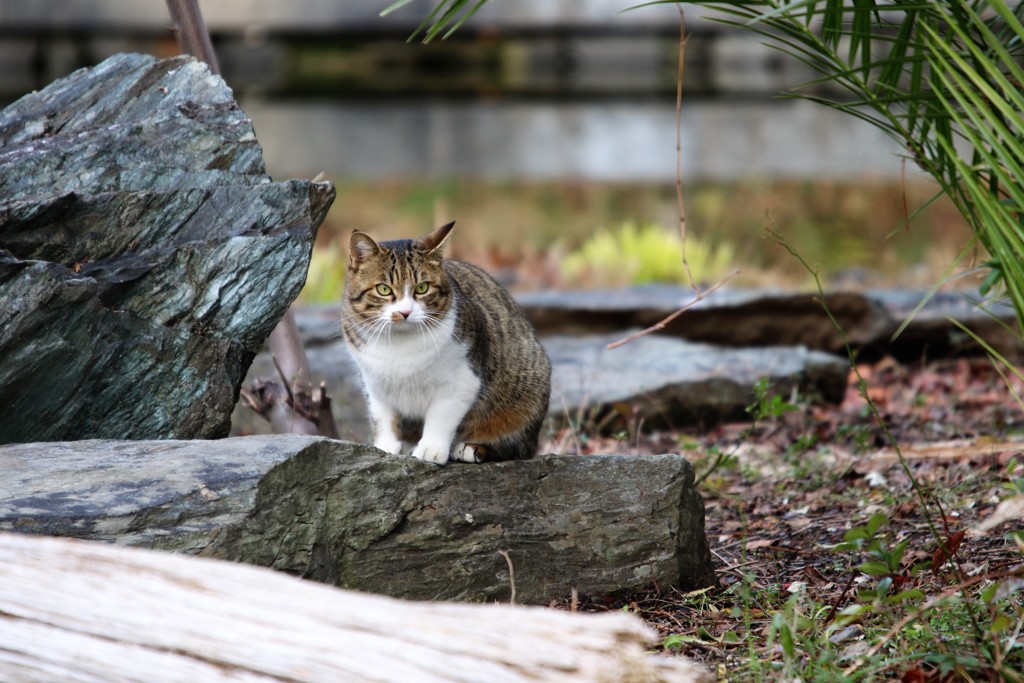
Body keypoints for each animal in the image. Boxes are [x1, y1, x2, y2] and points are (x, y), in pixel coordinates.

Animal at [342, 223, 552, 464]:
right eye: (383, 289)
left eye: (422, 288)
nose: (405, 312)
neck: (400, 344)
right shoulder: (374, 382)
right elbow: (383, 417)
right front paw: (386, 447)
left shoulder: (463, 379)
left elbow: (441, 416)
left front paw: (430, 449)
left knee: (517, 446)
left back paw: (473, 448)